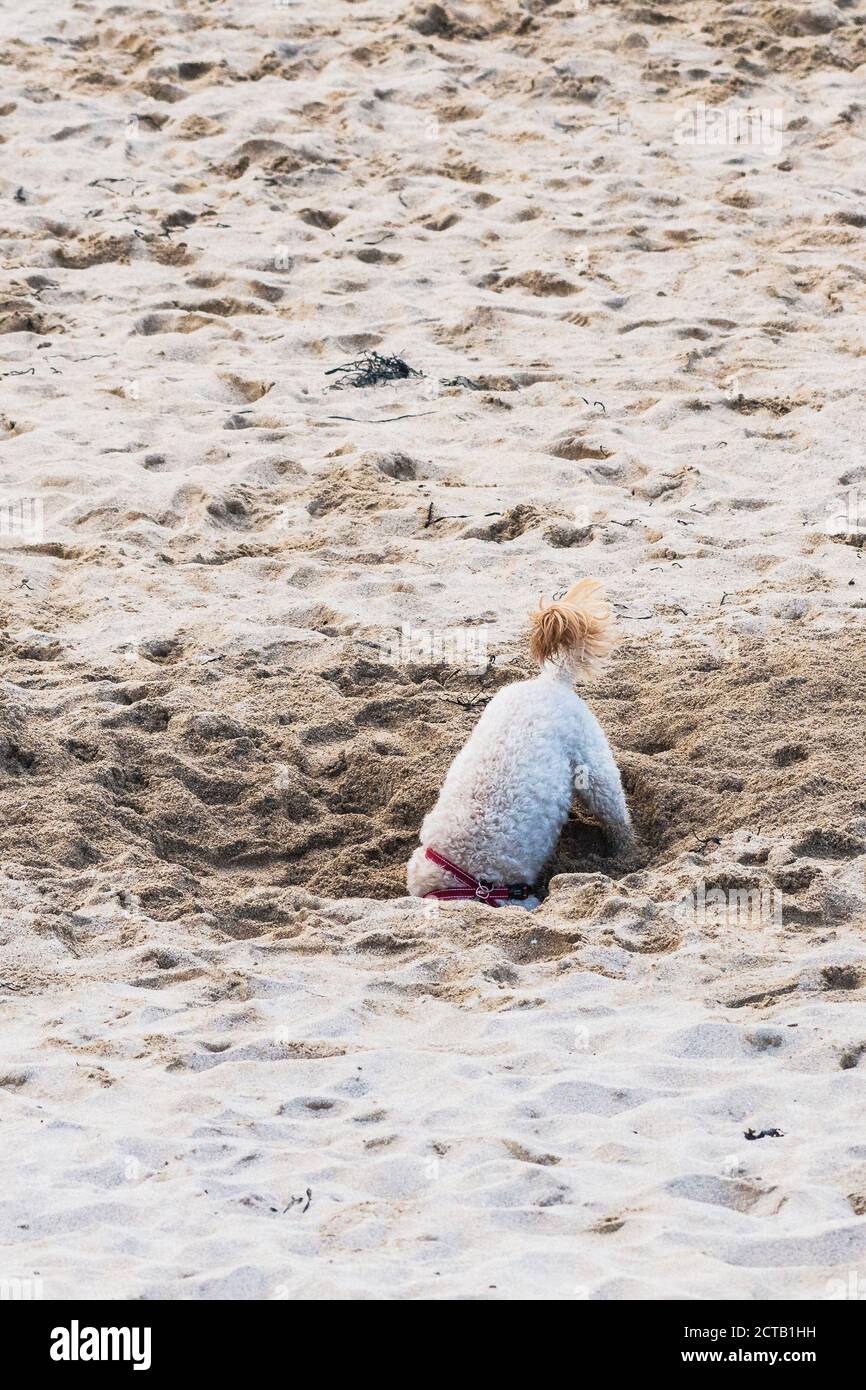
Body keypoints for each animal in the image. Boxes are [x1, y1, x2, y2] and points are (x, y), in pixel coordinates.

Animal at [408, 581, 633, 906]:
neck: (462, 878)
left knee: (617, 818)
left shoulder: (516, 898)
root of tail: (550, 682)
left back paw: (625, 854)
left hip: (594, 771)